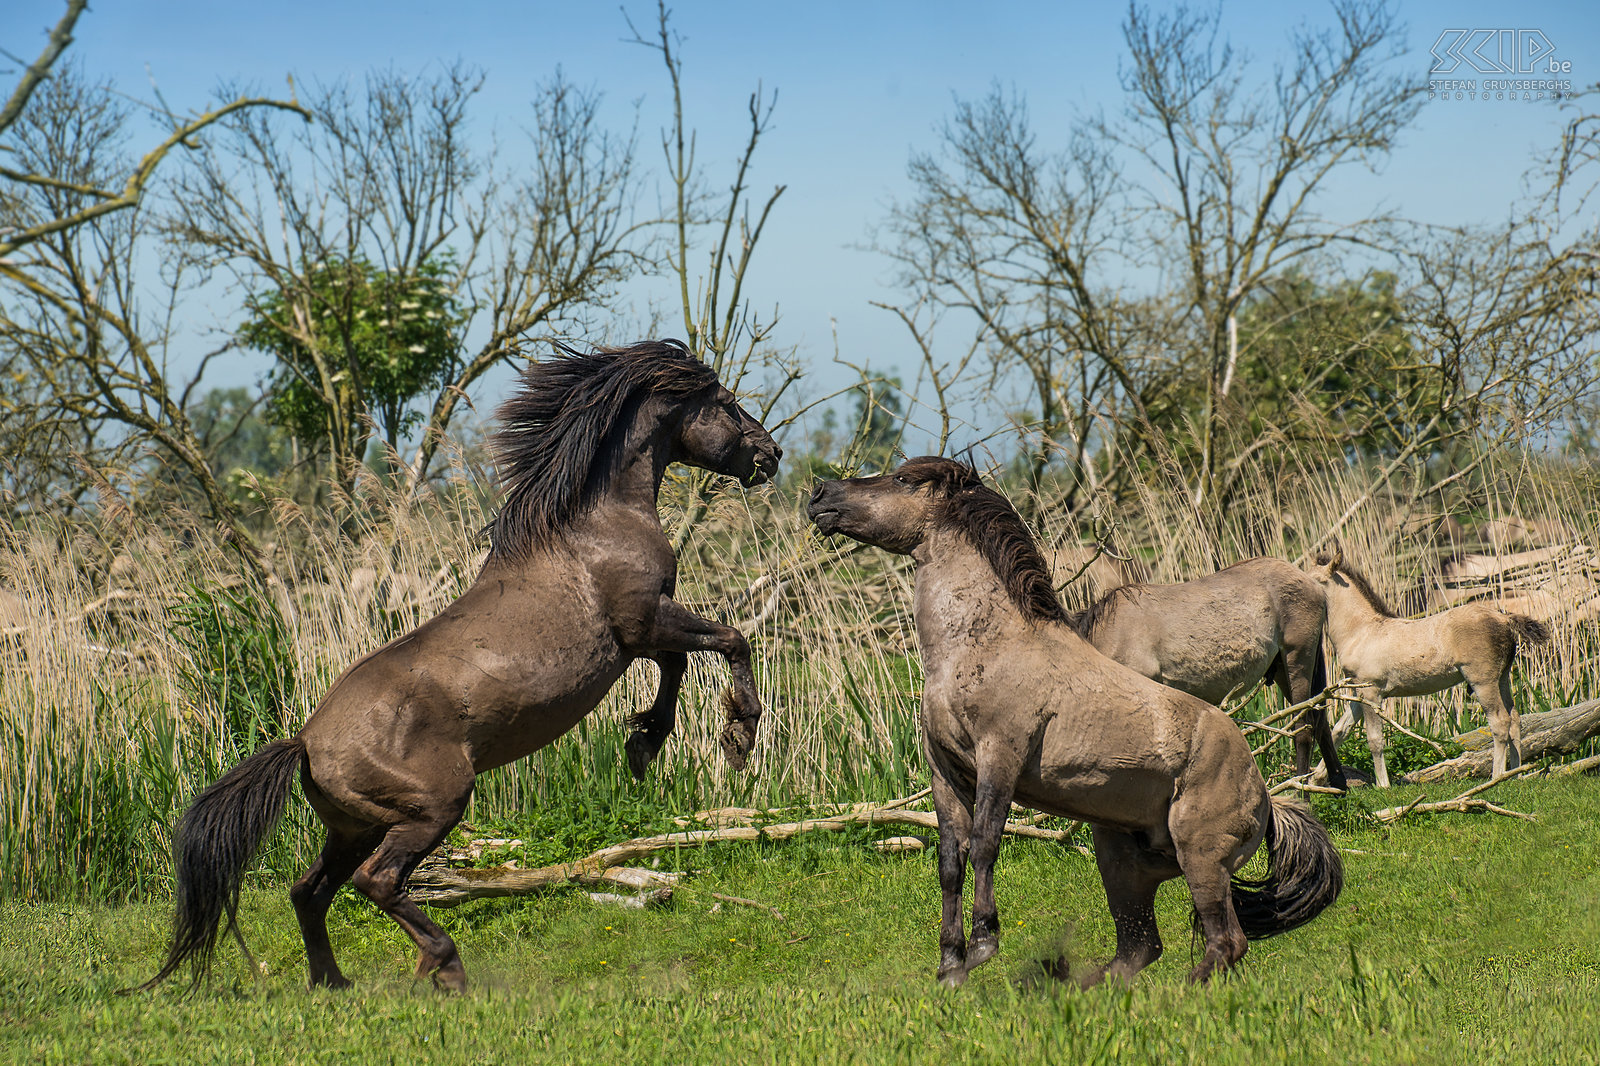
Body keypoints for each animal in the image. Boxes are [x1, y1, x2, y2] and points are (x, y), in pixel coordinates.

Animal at [1068, 560, 1344, 784]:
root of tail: (1313, 584)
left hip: (1298, 660)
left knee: (1304, 730)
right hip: (1283, 671)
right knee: (1322, 723)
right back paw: (1338, 788)